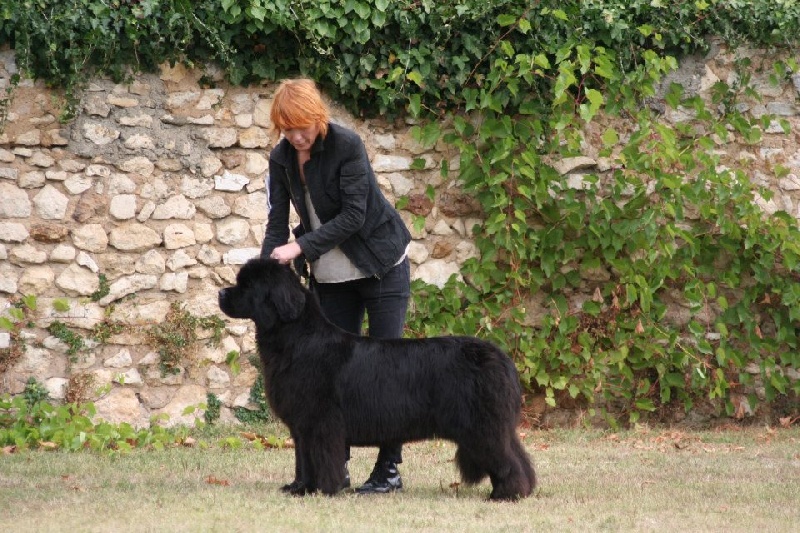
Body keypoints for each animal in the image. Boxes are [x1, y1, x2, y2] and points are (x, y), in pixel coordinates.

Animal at [216, 258, 536, 498]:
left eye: (247, 286)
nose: (220, 293)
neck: (297, 339)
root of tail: (501, 357)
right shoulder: (301, 425)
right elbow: (303, 460)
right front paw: (300, 488)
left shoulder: (321, 422)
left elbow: (321, 457)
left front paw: (325, 489)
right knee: (517, 455)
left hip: (481, 426)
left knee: (506, 459)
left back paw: (506, 494)